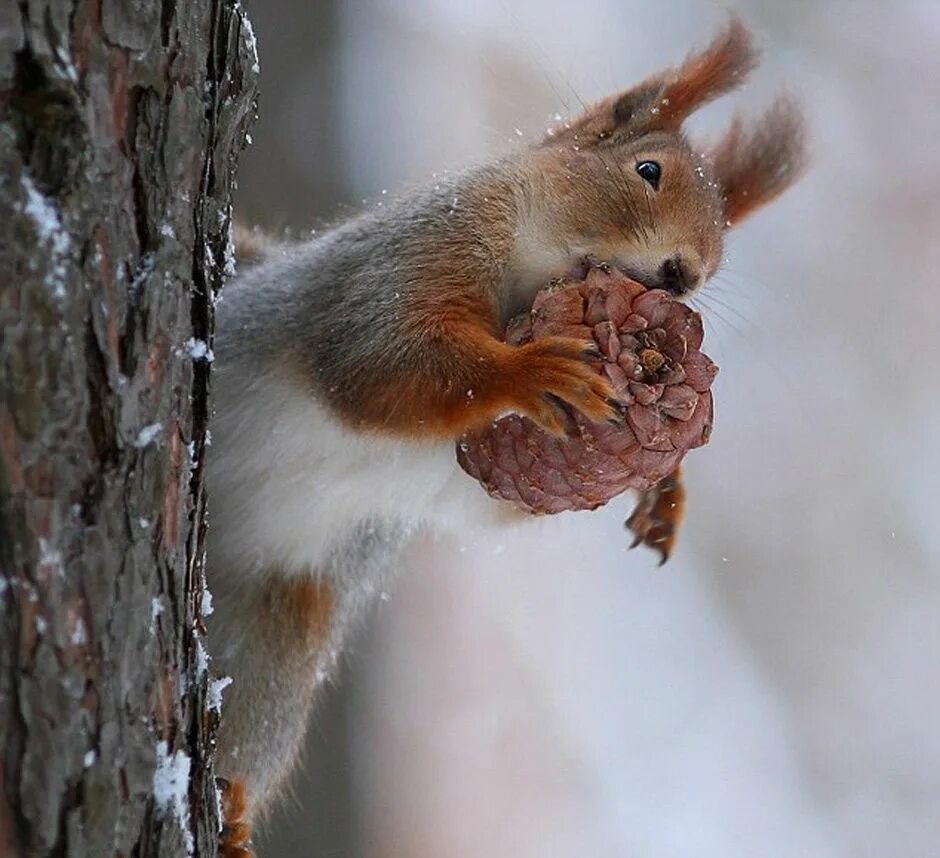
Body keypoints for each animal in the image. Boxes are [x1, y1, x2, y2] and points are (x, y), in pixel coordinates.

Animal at [207, 16, 808, 852]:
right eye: (647, 169)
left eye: (721, 245)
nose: (685, 274)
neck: (529, 286)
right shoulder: (415, 255)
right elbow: (382, 358)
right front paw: (527, 372)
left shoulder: (464, 467)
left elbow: (500, 498)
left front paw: (664, 481)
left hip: (276, 631)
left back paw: (230, 802)